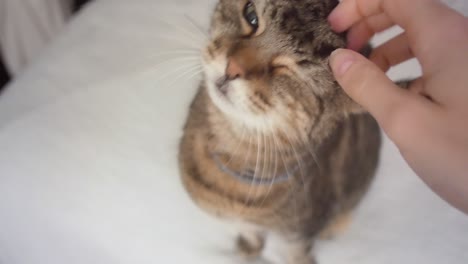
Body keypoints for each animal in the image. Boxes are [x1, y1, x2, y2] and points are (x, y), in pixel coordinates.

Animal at [178, 1, 380, 262]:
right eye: (251, 16)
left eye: (287, 69)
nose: (232, 69)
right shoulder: (240, 221)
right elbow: (248, 231)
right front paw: (249, 248)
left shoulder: (296, 236)